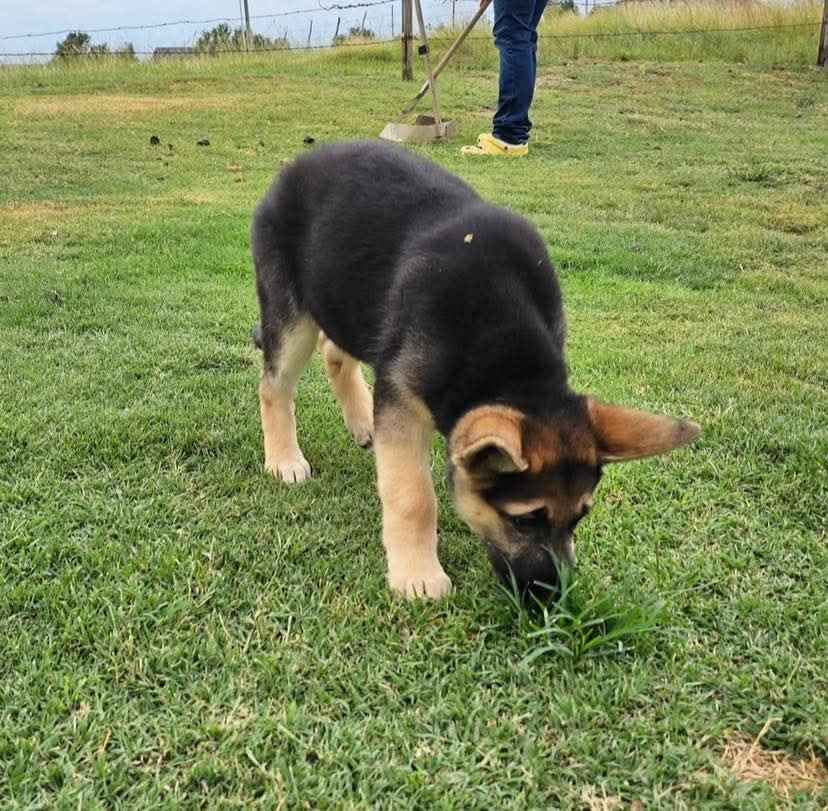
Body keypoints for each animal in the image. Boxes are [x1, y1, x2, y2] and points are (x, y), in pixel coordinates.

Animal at [251, 140, 700, 600]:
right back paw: (284, 459)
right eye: (525, 519)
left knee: (334, 353)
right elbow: (413, 496)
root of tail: (303, 161)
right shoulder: (401, 402)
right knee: (274, 386)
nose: (553, 597)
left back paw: (360, 421)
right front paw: (418, 576)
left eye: (579, 517)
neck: (512, 364)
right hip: (293, 318)